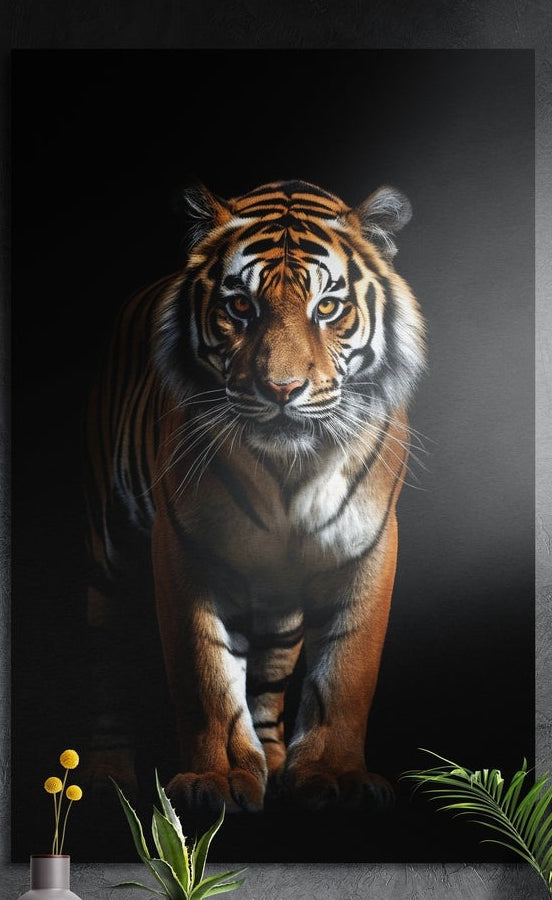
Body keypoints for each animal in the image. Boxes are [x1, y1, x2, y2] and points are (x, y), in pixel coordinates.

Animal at [83, 178, 427, 816]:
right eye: (240, 307)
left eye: (327, 308)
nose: (282, 389)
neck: (292, 470)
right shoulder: (183, 546)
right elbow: (205, 676)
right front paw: (214, 781)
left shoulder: (368, 544)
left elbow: (347, 671)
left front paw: (335, 775)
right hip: (109, 550)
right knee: (107, 658)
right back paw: (103, 779)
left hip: (277, 591)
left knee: (269, 673)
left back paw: (272, 759)